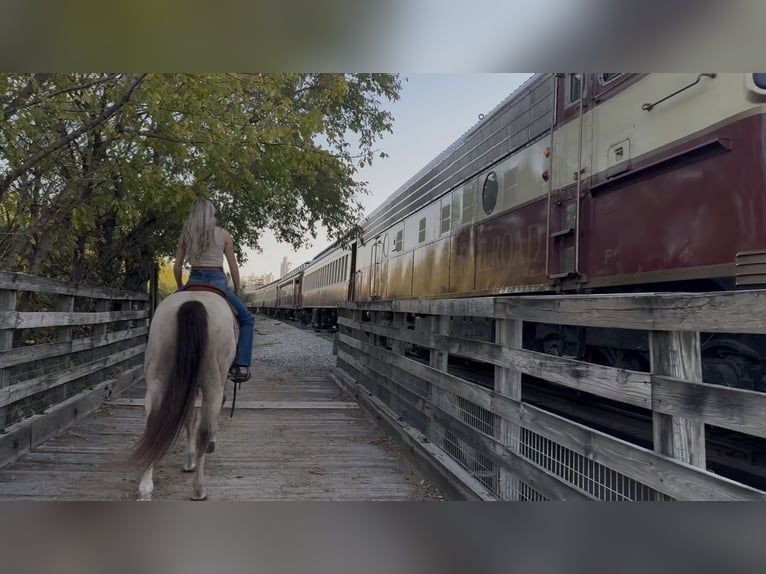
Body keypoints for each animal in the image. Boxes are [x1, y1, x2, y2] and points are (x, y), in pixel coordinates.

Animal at [129, 288, 238, 501]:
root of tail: (192, 302)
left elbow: (188, 417)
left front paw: (189, 460)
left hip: (158, 375)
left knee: (153, 424)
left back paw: (145, 489)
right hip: (213, 379)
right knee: (204, 429)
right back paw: (199, 489)